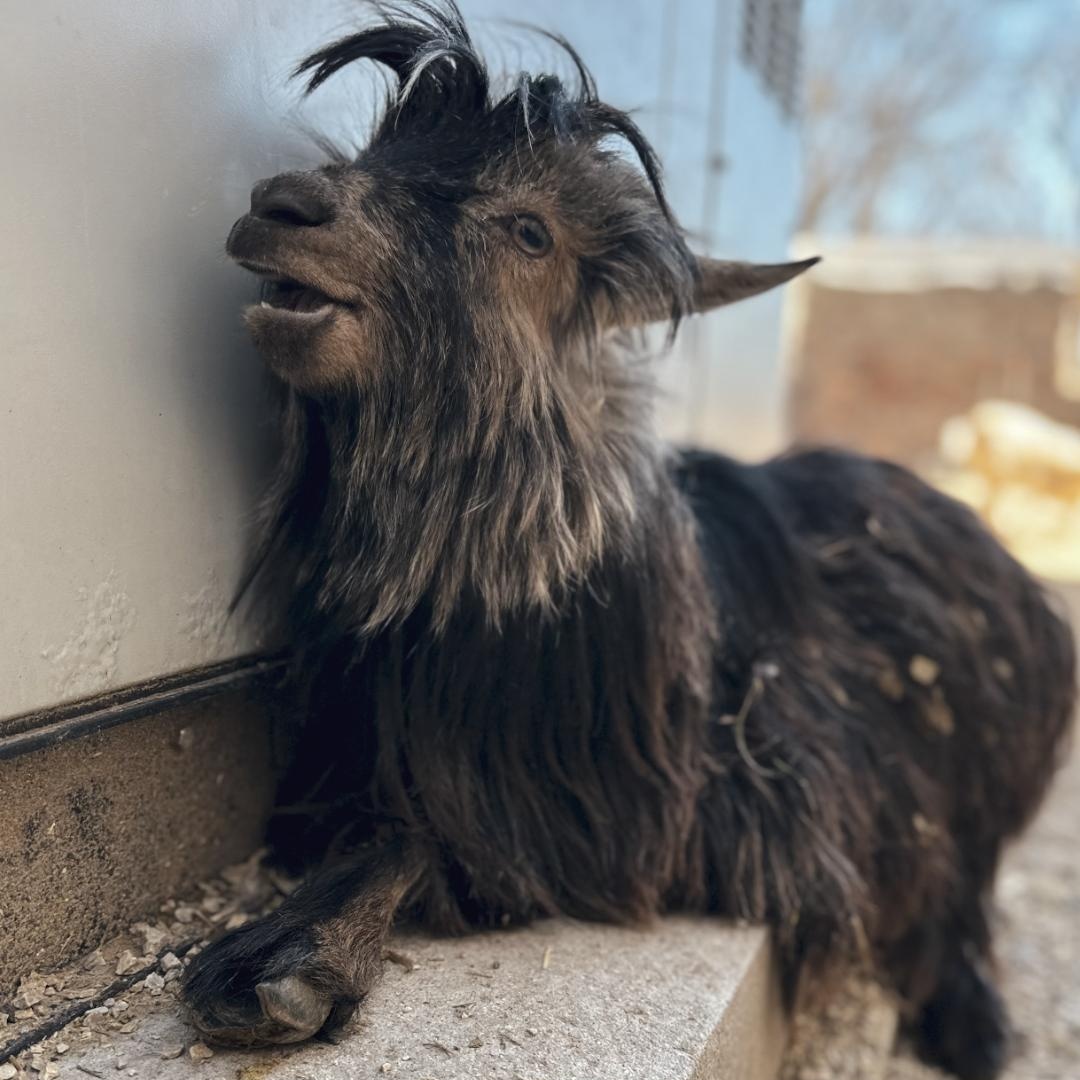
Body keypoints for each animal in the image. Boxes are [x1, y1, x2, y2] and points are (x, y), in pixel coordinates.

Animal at [183, 6, 1076, 1078]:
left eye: (530, 230)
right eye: (370, 152)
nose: (282, 205)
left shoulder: (689, 821)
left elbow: (445, 842)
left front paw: (292, 961)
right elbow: (386, 824)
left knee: (966, 881)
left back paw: (973, 1020)